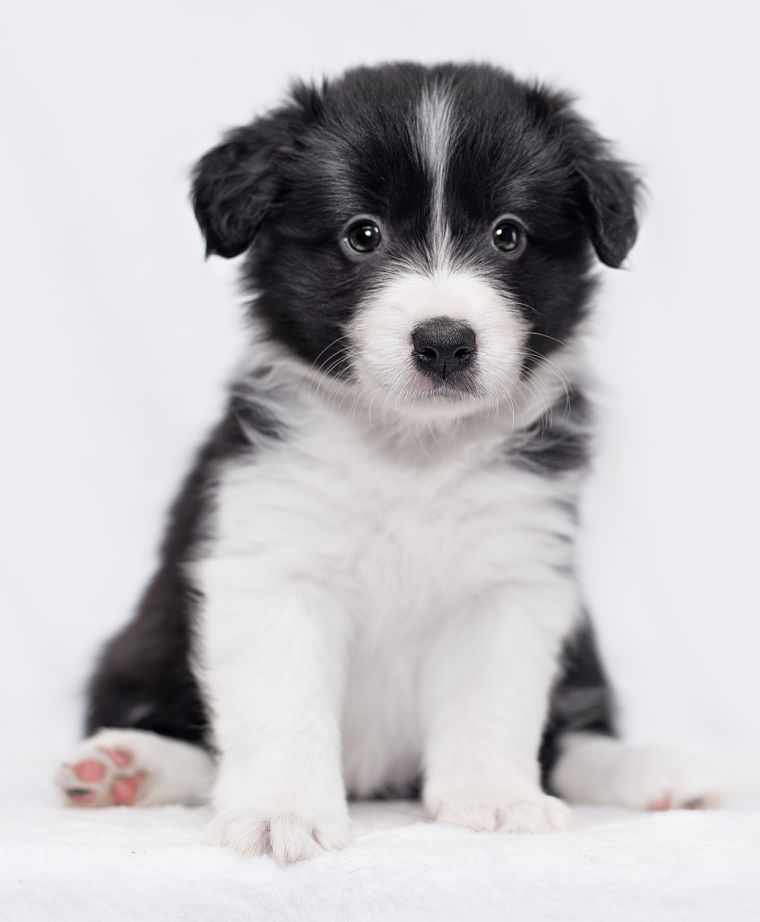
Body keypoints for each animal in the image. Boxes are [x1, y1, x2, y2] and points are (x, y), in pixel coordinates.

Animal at [55, 63, 720, 864]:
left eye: (508, 234)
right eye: (361, 234)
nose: (444, 343)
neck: (412, 450)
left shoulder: (513, 575)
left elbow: (494, 699)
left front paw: (493, 799)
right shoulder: (273, 565)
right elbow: (280, 699)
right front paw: (280, 812)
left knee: (574, 737)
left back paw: (658, 772)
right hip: (143, 641)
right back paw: (127, 766)